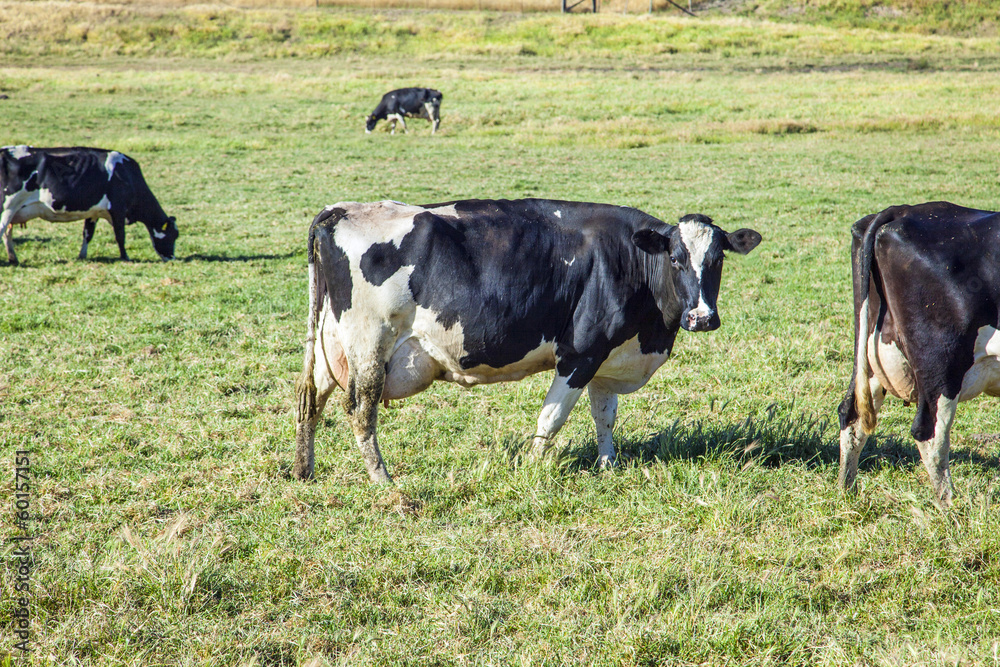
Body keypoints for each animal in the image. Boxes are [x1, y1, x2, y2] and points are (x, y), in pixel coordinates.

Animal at [0, 145, 178, 264]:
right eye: (173, 235)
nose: (172, 258)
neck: (127, 176)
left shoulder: (94, 213)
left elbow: (87, 234)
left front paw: (82, 256)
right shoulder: (118, 209)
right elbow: (120, 236)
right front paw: (125, 257)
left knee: (7, 234)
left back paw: (13, 259)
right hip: (7, 207)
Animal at [292, 196, 760, 482]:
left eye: (717, 260)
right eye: (676, 259)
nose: (702, 318)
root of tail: (339, 210)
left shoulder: (607, 356)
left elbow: (604, 416)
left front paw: (608, 466)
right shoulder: (579, 353)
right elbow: (551, 418)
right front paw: (532, 469)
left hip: (330, 344)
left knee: (310, 400)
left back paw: (303, 470)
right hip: (370, 345)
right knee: (360, 410)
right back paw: (385, 483)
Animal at [836, 201, 1000, 508]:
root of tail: (900, 210)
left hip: (870, 351)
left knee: (851, 415)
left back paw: (845, 490)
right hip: (943, 363)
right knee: (929, 433)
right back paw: (950, 506)